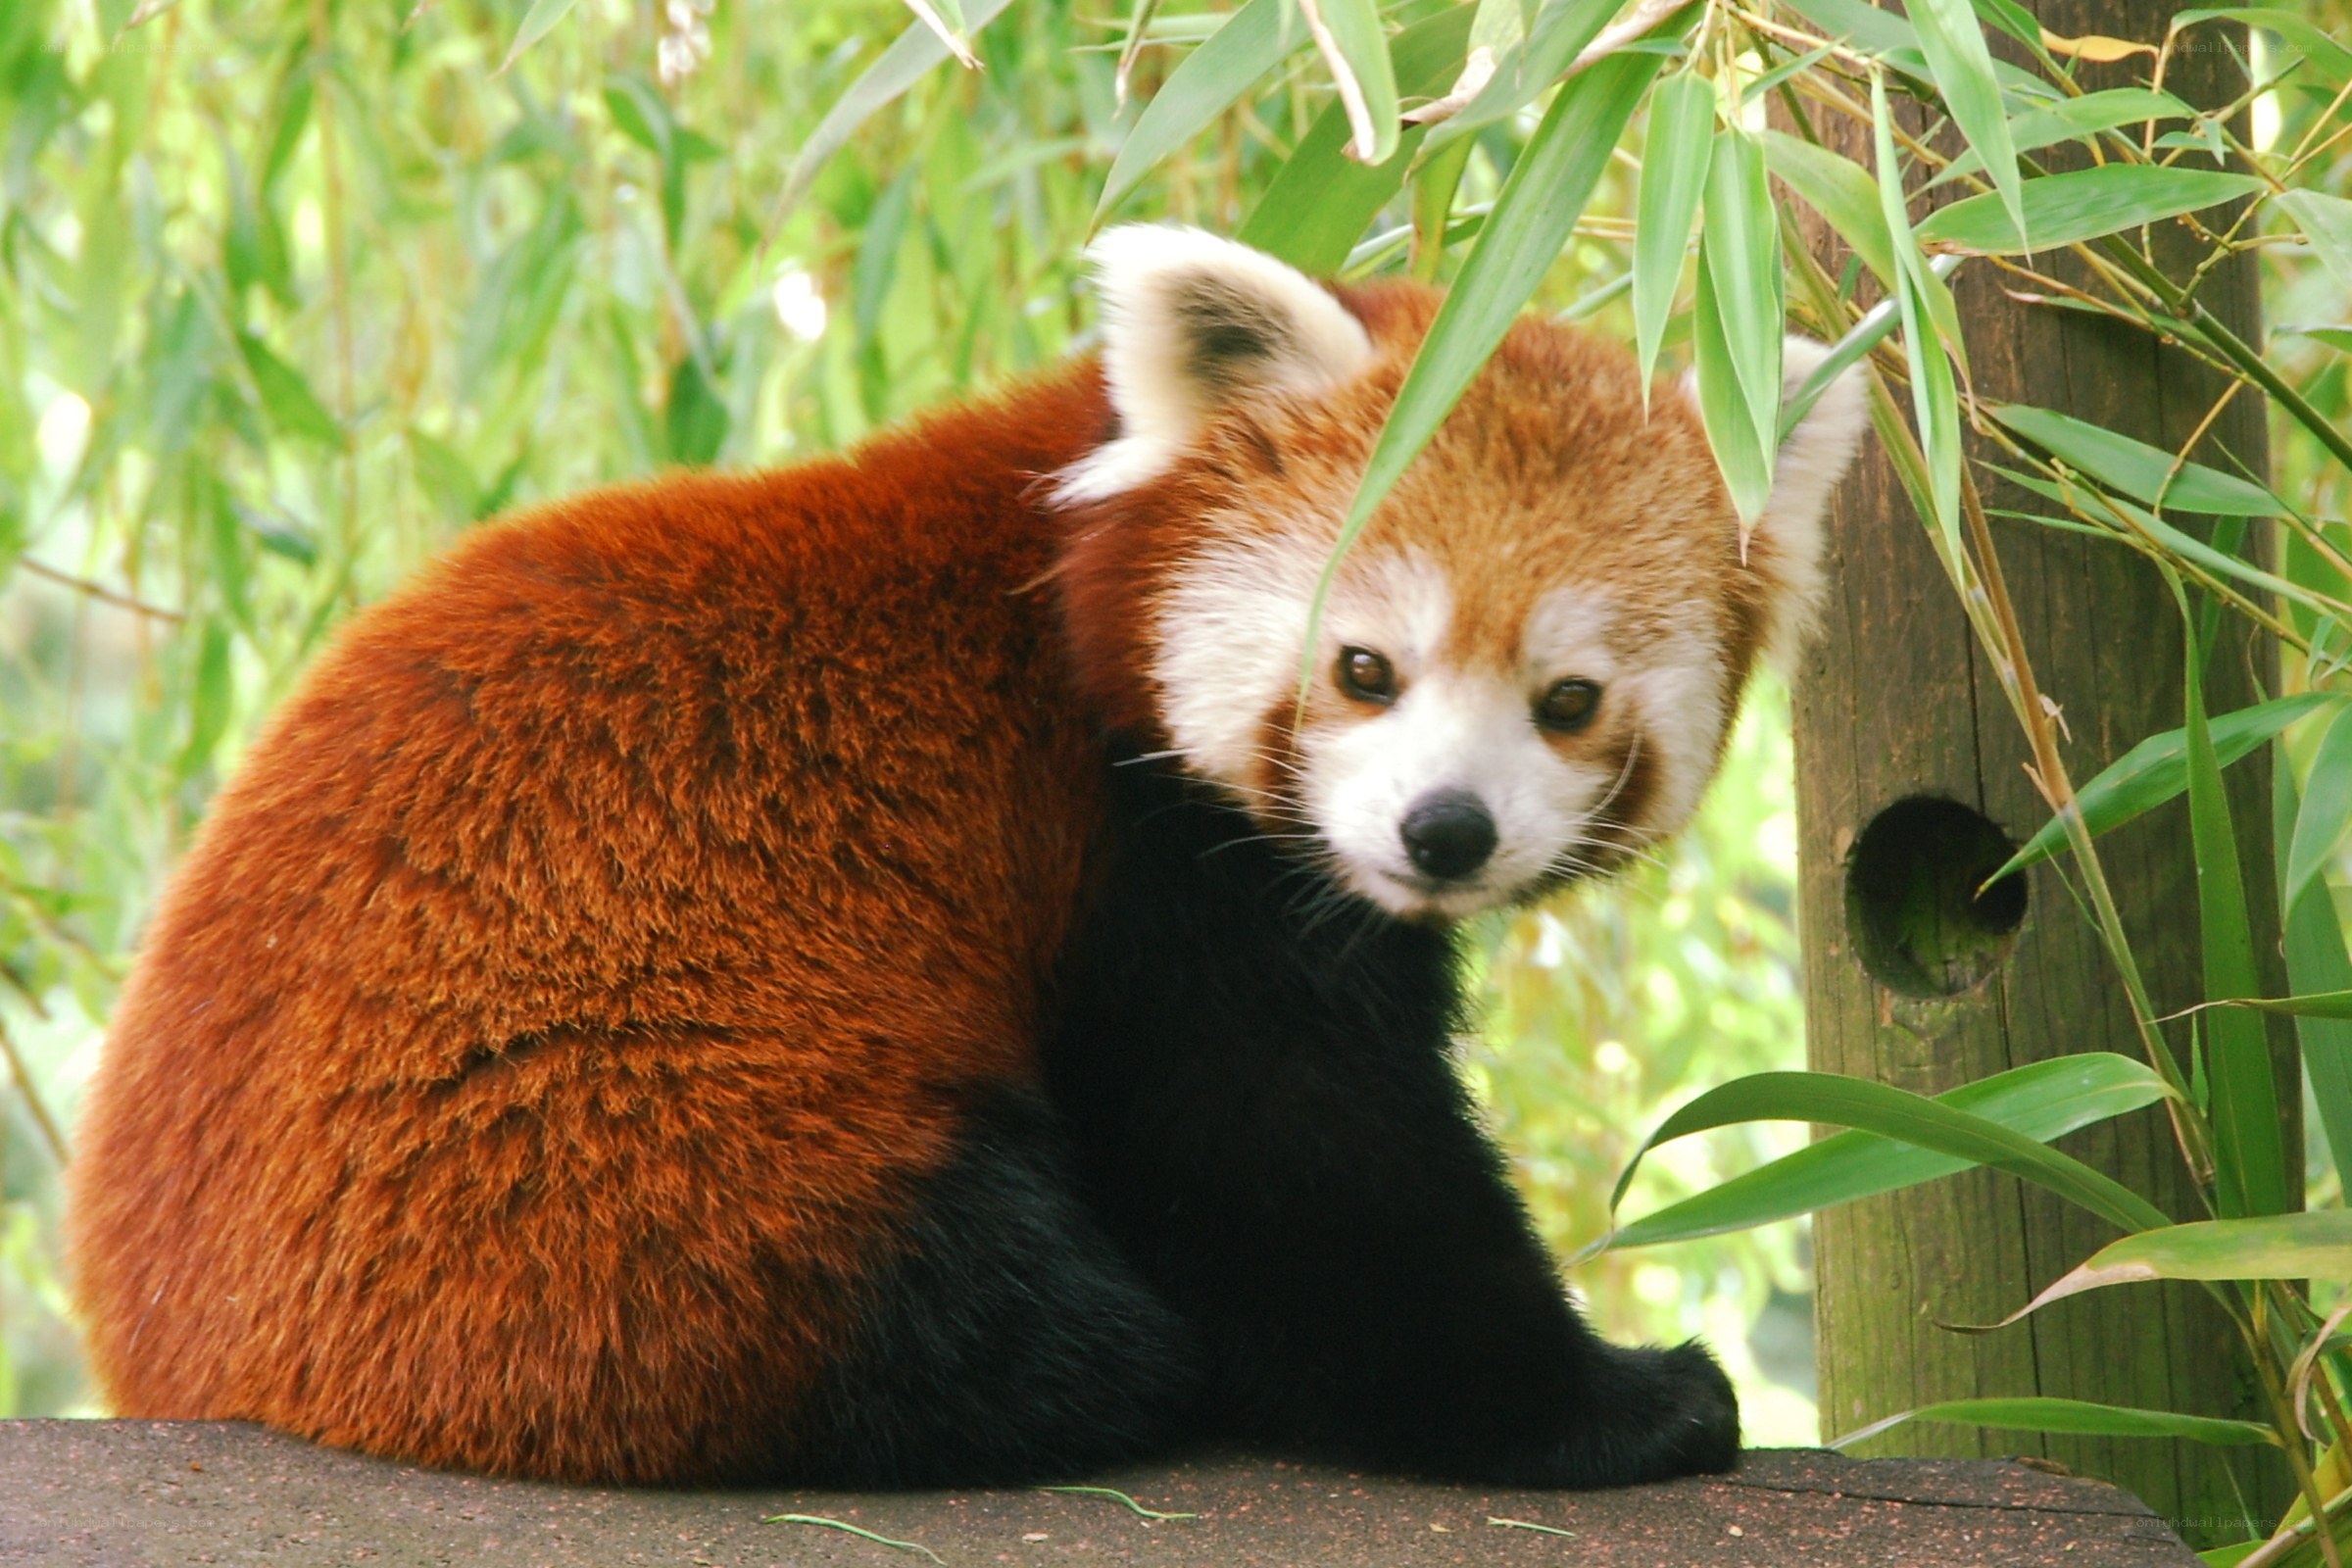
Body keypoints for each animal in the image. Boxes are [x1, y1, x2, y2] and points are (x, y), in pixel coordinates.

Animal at [67, 226, 1869, 1490]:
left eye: (1568, 702)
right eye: (1366, 669)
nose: (1445, 830)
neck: (1075, 593)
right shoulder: (1142, 870)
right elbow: (1296, 1163)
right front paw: (1622, 1405)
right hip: (605, 1179)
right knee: (1000, 1310)